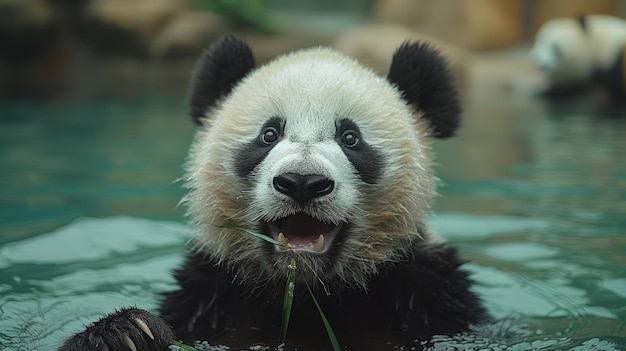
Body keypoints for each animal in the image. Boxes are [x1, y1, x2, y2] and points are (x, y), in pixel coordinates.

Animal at [58, 35, 488, 351]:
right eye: (268, 134)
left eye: (350, 138)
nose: (302, 182)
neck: (308, 295)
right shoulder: (211, 294)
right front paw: (123, 333)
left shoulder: (430, 293)